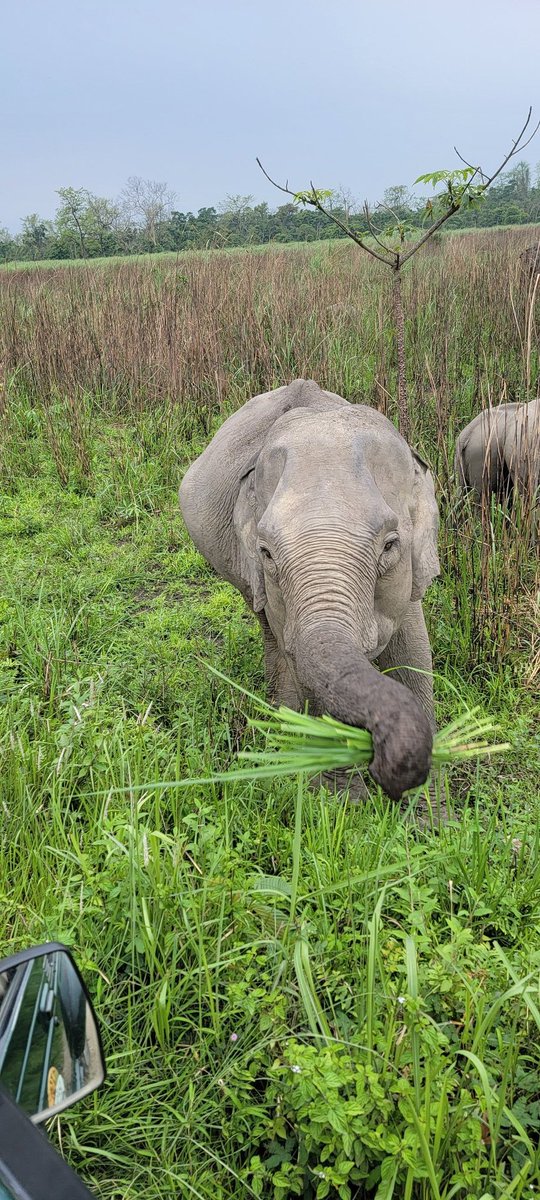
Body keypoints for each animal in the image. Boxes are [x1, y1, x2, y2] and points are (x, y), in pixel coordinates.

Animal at [178, 379, 441, 801]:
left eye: (389, 545)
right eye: (267, 552)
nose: (384, 764)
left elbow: (413, 652)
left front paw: (429, 808)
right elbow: (305, 664)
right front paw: (341, 799)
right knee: (267, 626)